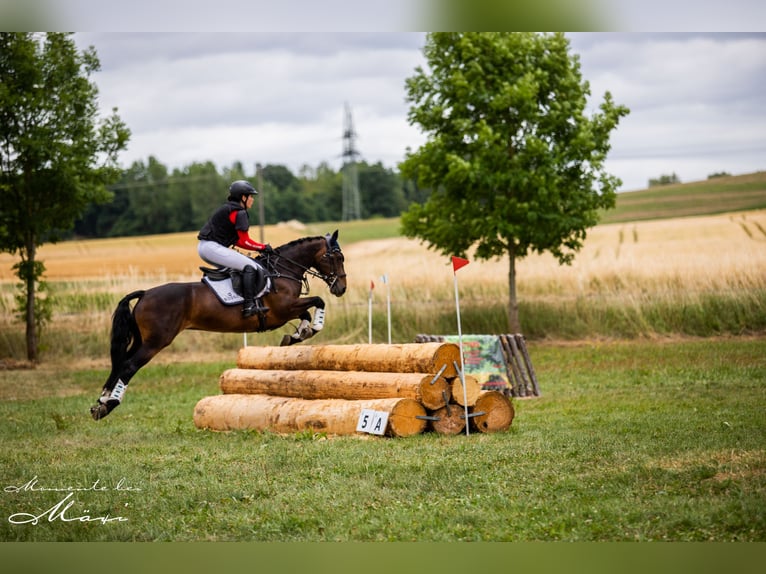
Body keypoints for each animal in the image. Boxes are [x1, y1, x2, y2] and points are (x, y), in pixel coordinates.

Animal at [91, 231, 352, 424]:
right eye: (335, 258)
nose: (341, 288)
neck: (281, 271)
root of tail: (145, 294)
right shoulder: (283, 310)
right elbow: (318, 301)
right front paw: (309, 329)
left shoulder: (287, 311)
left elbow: (306, 313)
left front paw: (298, 334)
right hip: (156, 342)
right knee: (129, 366)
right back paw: (110, 404)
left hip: (141, 340)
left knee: (121, 363)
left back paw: (101, 403)